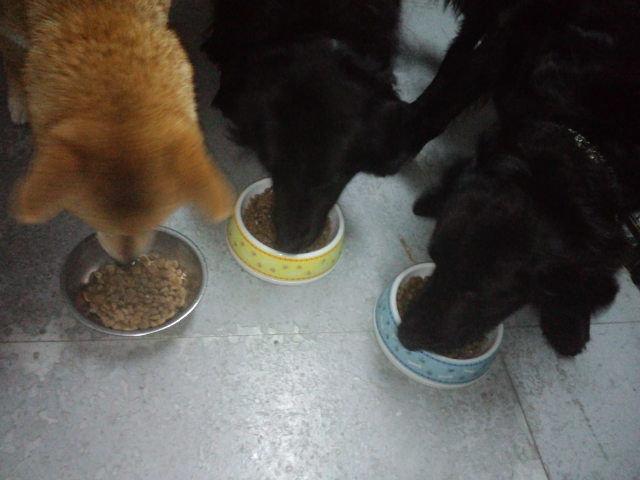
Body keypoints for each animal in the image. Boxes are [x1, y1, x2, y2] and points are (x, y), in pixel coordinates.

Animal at [1, 0, 235, 262]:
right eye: (98, 224)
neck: (101, 21)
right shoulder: (9, 28)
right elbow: (13, 60)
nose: (128, 262)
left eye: (155, 223)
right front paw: (19, 96)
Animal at [397, 0, 640, 356]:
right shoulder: (507, 40)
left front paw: (569, 316)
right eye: (435, 257)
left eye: (484, 293)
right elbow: (448, 102)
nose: (406, 335)